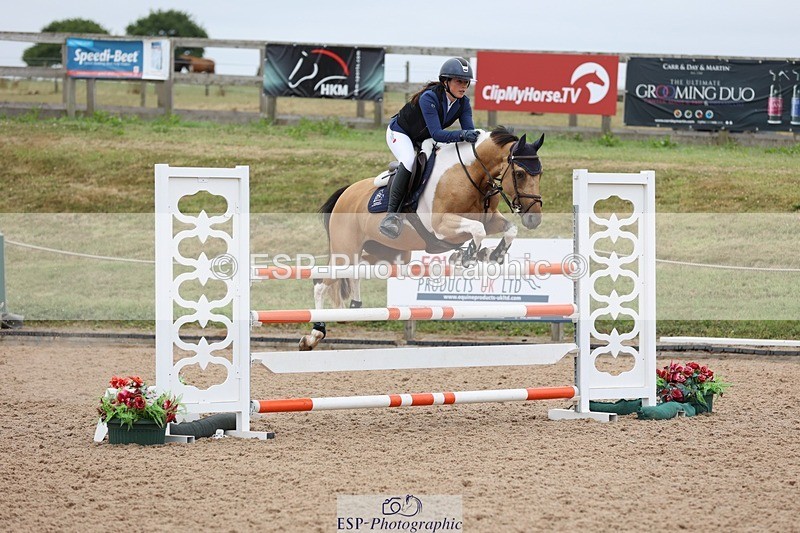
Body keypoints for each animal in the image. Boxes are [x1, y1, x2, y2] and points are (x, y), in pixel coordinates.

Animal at [298, 126, 545, 350]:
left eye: (540, 174)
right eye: (520, 173)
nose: (534, 219)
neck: (471, 174)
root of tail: (346, 193)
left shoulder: (490, 218)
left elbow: (509, 229)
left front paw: (493, 254)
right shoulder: (441, 226)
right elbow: (477, 230)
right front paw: (465, 257)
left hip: (389, 254)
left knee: (356, 271)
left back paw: (353, 306)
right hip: (347, 252)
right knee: (321, 282)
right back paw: (314, 335)